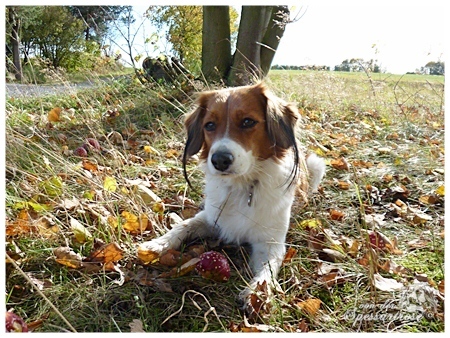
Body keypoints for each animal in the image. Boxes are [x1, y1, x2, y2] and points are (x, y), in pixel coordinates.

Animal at [139, 82, 326, 314]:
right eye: (209, 125)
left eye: (247, 121)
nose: (219, 160)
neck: (242, 187)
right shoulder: (211, 219)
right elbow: (183, 225)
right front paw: (157, 244)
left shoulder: (270, 241)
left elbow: (268, 268)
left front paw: (256, 293)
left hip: (317, 165)